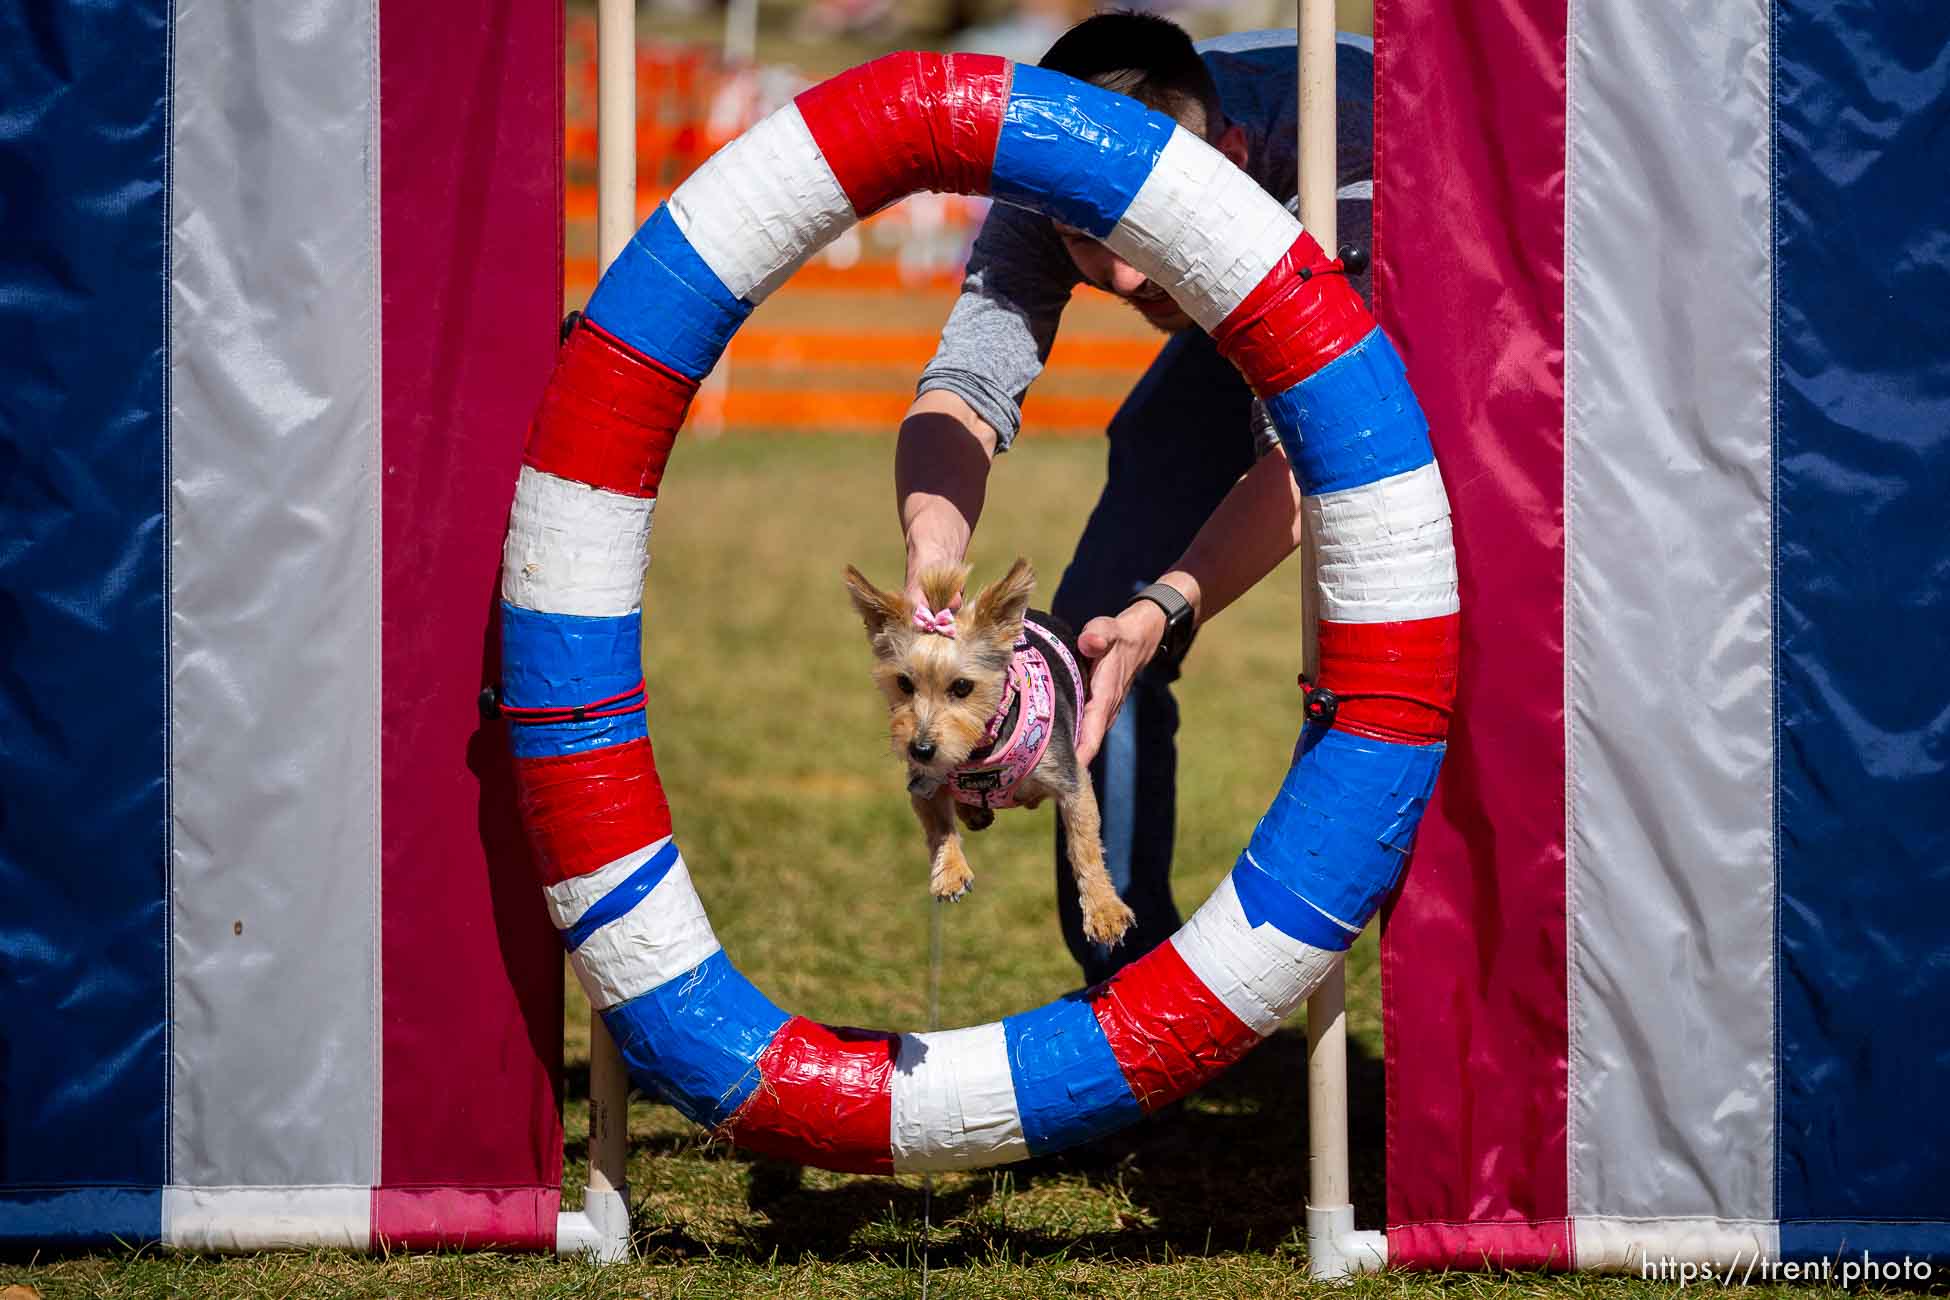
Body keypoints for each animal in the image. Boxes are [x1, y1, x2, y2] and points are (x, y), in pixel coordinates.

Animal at [842, 561, 1138, 947]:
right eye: (904, 683)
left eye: (962, 686)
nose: (920, 749)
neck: (979, 750)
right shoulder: (922, 783)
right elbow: (938, 825)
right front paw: (950, 871)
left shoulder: (1071, 778)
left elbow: (1084, 844)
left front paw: (1104, 909)